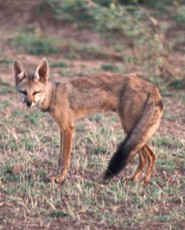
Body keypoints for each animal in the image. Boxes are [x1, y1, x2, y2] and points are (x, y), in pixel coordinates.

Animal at [13, 58, 163, 185]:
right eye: (23, 92)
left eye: (36, 92)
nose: (28, 103)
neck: (54, 95)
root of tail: (150, 85)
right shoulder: (62, 128)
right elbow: (60, 158)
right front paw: (56, 176)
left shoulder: (68, 128)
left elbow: (65, 159)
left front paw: (60, 178)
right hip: (133, 132)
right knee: (145, 156)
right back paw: (134, 178)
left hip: (129, 127)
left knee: (151, 155)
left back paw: (144, 181)